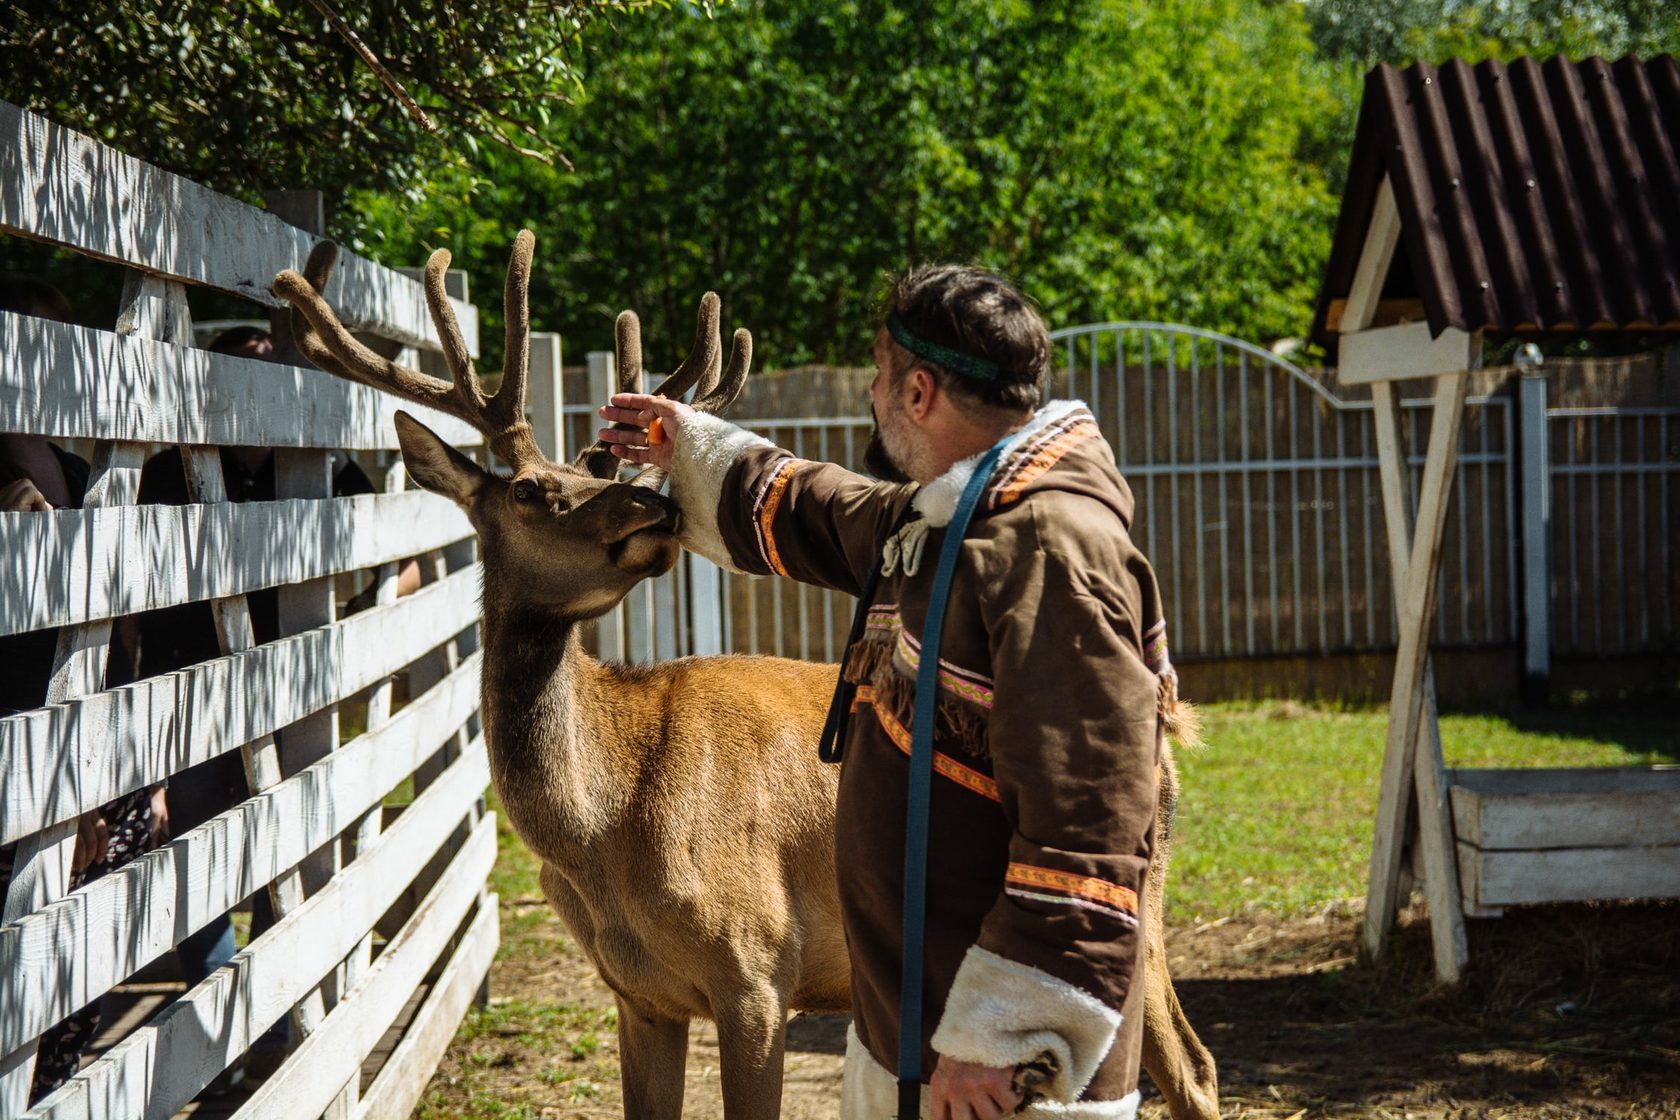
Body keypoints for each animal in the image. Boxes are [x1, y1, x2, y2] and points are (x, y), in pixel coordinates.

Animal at [275, 230, 1223, 1120]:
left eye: (598, 473)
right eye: (531, 491)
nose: (652, 503)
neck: (600, 837)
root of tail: (1170, 736)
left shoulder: (759, 969)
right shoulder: (639, 999)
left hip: (1132, 909)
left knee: (1185, 1064)